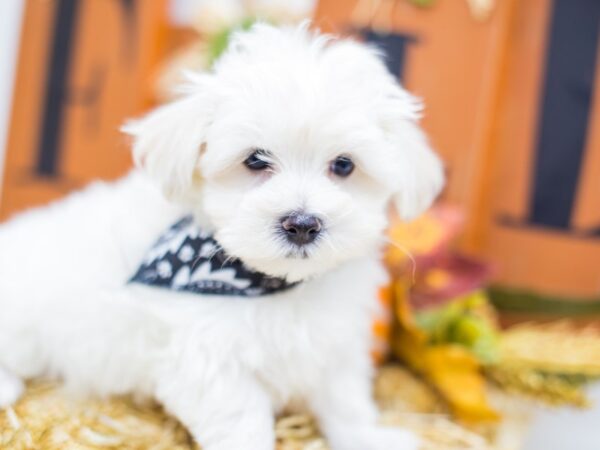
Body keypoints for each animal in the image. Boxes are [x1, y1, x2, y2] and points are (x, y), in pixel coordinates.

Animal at [0, 23, 440, 450]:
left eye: (344, 165)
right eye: (255, 161)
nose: (302, 223)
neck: (272, 284)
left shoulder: (335, 342)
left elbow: (345, 400)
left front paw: (370, 436)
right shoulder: (207, 360)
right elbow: (241, 422)